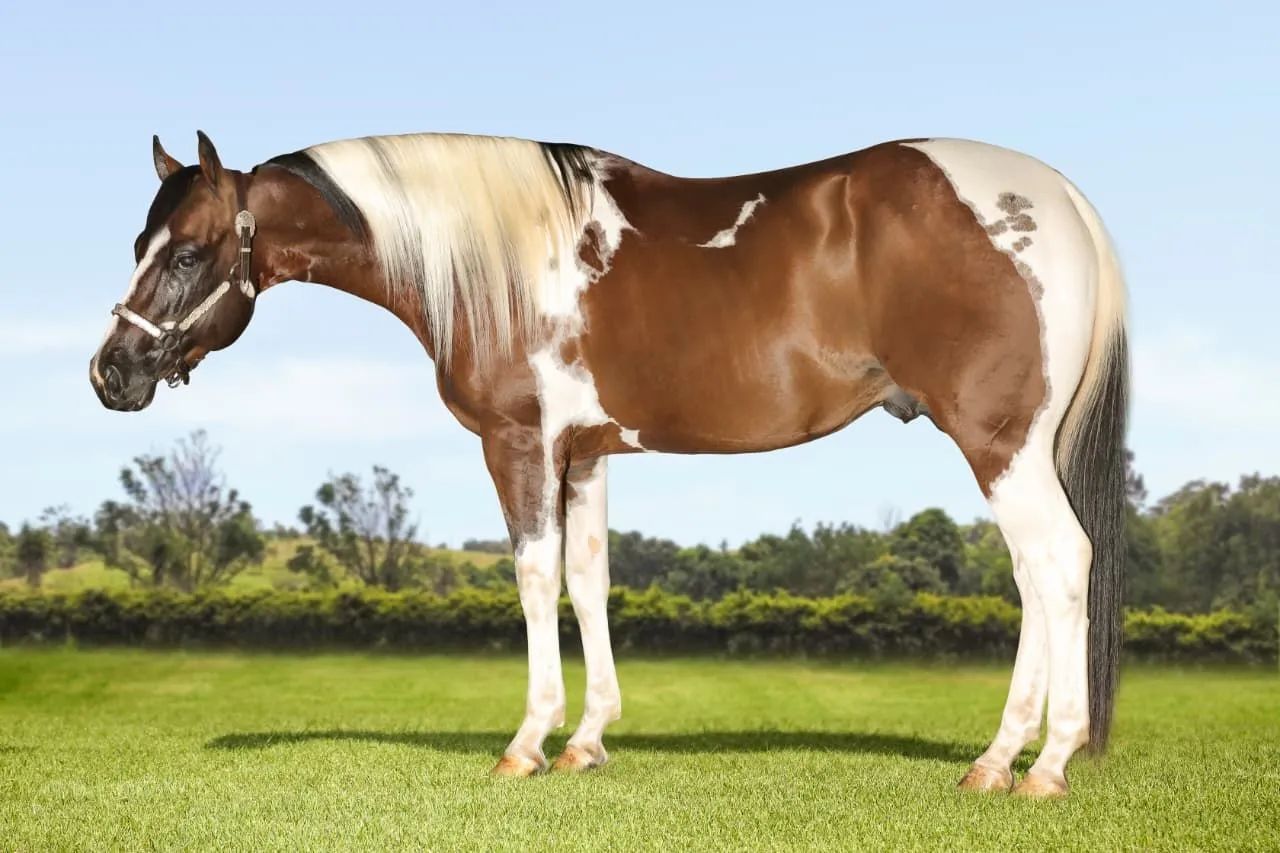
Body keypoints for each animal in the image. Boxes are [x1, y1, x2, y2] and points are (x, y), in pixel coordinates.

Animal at [90, 130, 1127, 797]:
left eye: (188, 255)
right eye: (138, 243)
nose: (111, 373)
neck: (498, 258)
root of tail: (1062, 199)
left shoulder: (517, 442)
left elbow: (533, 577)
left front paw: (526, 743)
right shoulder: (584, 455)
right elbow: (588, 581)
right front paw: (586, 741)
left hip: (999, 442)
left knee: (1057, 563)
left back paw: (1030, 764)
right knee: (1041, 575)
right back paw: (1014, 758)